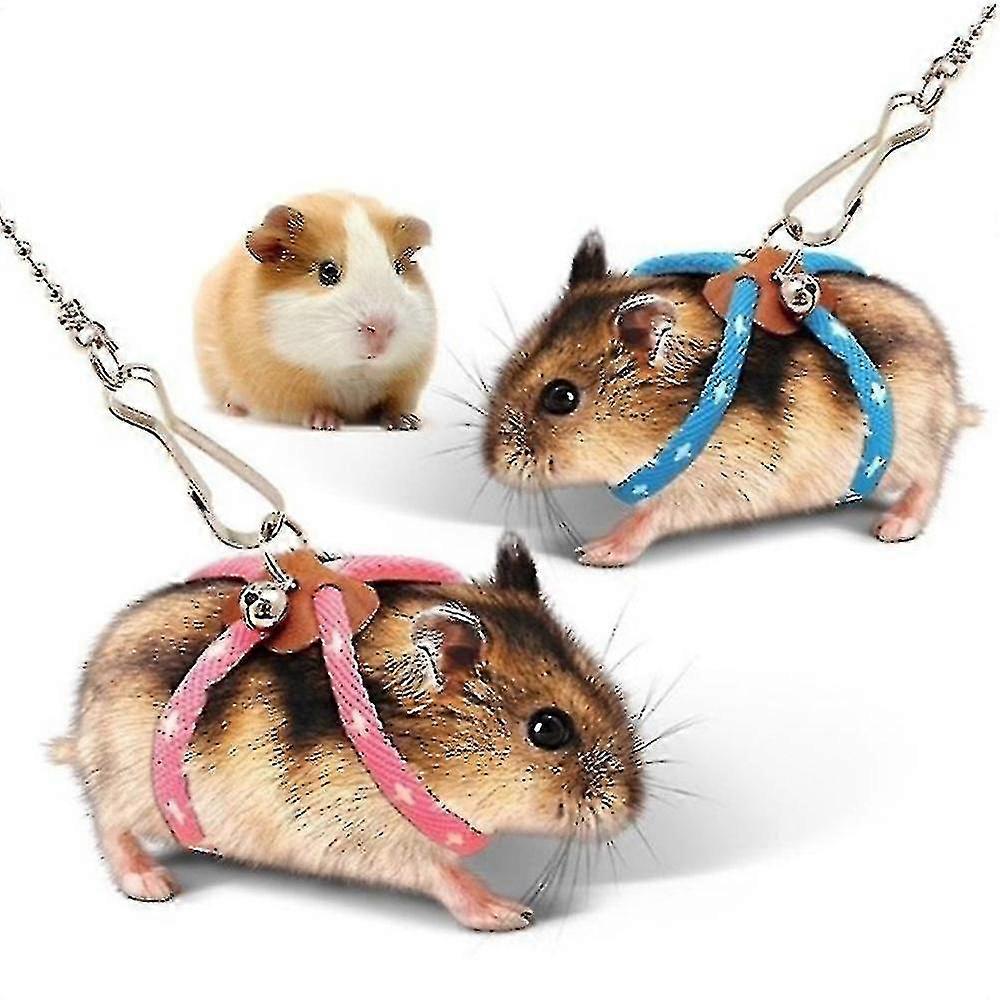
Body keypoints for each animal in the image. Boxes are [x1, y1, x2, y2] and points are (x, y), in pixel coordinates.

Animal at [52, 536, 643, 931]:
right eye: (549, 729)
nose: (633, 809)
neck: (412, 744)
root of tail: (80, 729)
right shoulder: (375, 837)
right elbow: (445, 874)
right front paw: (512, 914)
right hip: (125, 784)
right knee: (109, 826)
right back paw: (153, 884)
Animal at [195, 192, 436, 431]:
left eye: (398, 268)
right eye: (327, 272)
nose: (382, 328)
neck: (355, 371)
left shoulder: (404, 382)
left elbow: (392, 405)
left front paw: (407, 422)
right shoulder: (287, 391)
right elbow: (315, 407)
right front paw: (327, 424)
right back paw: (234, 409)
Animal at [483, 232, 981, 566]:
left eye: (561, 397)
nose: (490, 464)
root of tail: (955, 400)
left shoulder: (704, 488)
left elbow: (648, 517)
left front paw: (592, 552)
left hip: (916, 444)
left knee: (930, 479)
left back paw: (893, 527)